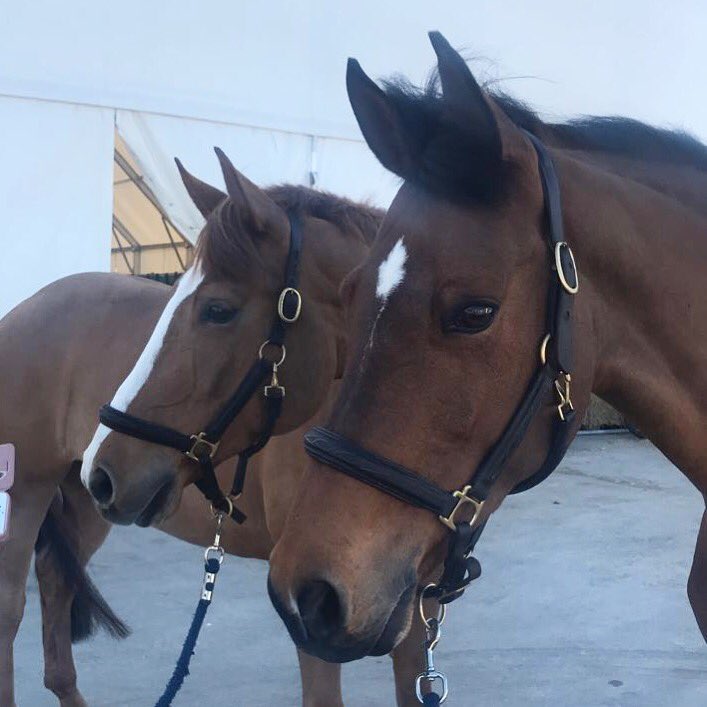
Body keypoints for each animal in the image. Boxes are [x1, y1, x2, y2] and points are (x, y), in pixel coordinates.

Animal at [0, 154, 420, 706]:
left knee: (55, 580)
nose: (105, 465)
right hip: (28, 487)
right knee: (9, 605)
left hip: (88, 499)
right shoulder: (309, 605)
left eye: (217, 310)